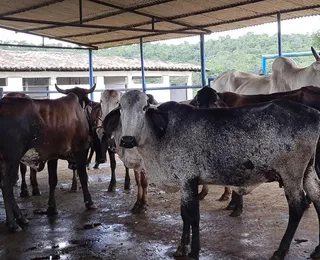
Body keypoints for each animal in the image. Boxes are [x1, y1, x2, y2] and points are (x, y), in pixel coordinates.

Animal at [0, 87, 96, 232]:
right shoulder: (81, 149)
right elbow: (83, 176)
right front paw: (89, 203)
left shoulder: (53, 156)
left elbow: (52, 180)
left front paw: (51, 208)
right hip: (12, 158)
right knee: (7, 187)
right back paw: (14, 223)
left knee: (3, 185)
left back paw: (20, 219)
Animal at [104, 89, 320, 260]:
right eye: (120, 108)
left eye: (144, 107)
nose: (127, 140)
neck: (160, 134)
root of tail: (314, 114)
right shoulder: (184, 183)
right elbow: (184, 215)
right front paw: (182, 247)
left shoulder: (189, 180)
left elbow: (193, 216)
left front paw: (194, 251)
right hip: (308, 172)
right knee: (317, 198)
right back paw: (316, 250)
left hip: (292, 174)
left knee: (298, 206)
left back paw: (280, 251)